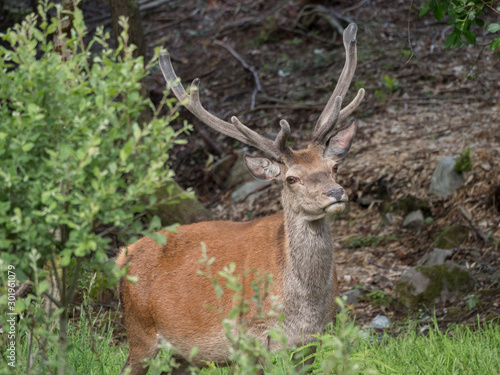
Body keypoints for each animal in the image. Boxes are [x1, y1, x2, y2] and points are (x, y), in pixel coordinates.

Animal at [118, 23, 366, 375]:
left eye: (333, 167)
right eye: (291, 178)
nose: (336, 193)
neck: (301, 310)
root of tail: (122, 255)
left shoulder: (312, 341)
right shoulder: (251, 339)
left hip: (179, 357)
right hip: (139, 335)